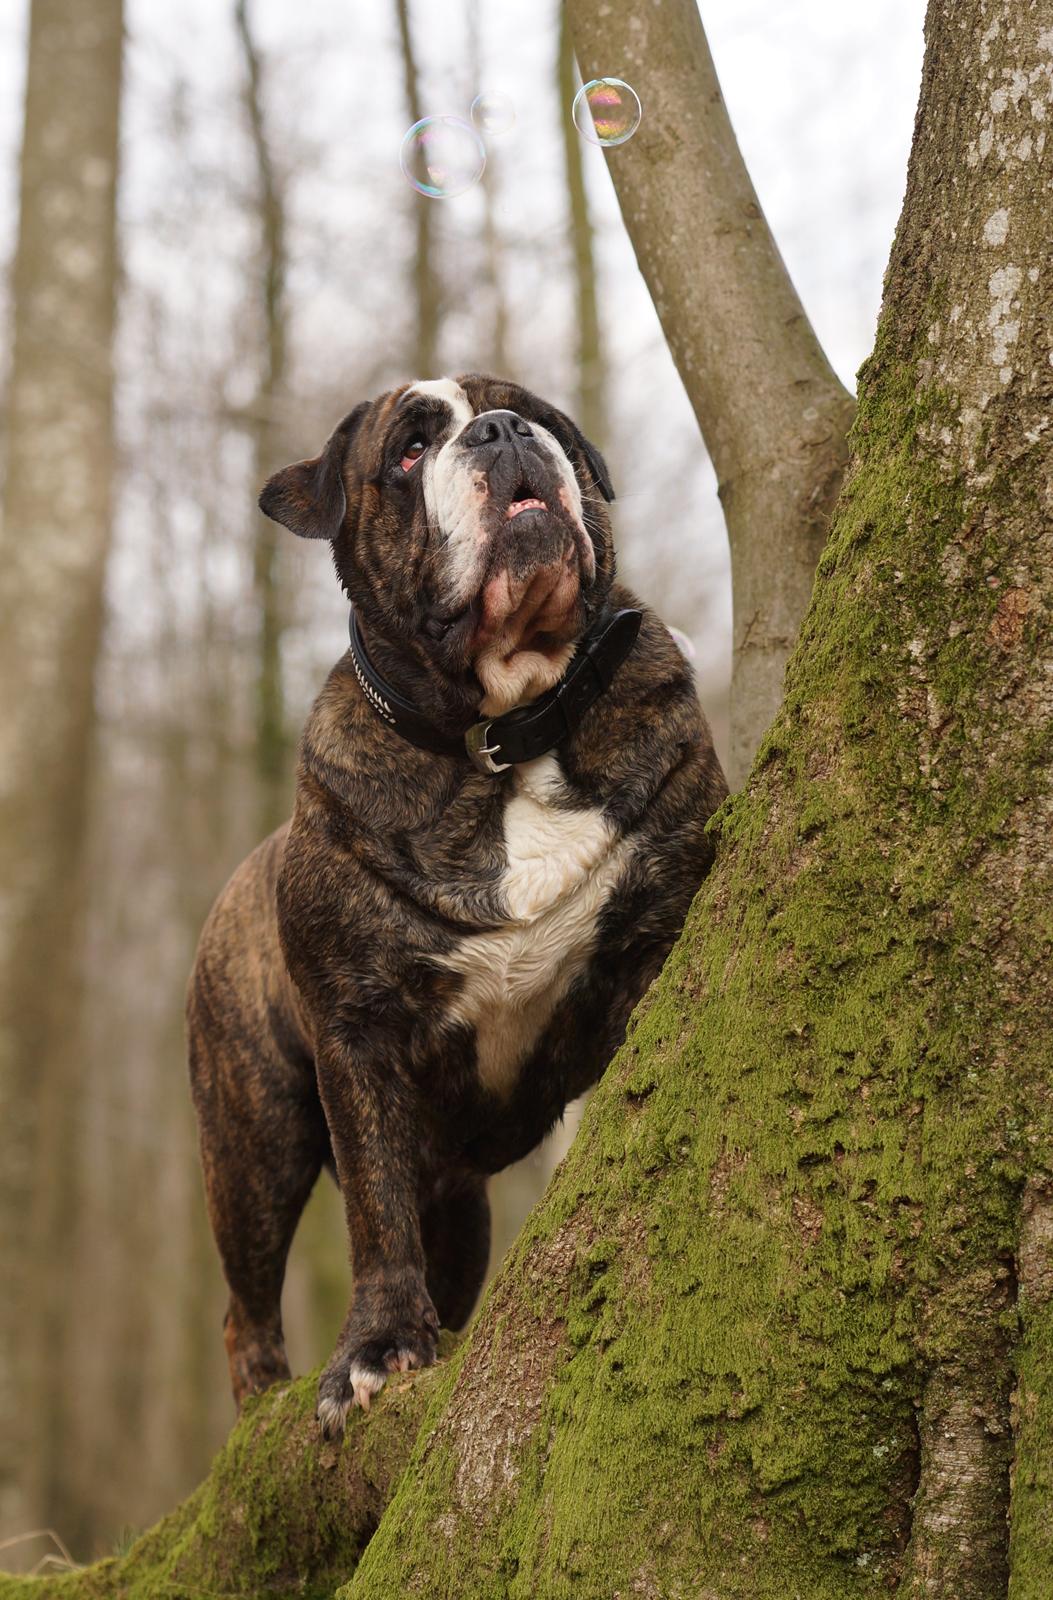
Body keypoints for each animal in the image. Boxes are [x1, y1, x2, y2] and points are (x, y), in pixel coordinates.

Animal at [184, 374, 723, 1440]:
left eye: (540, 417)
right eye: (407, 450)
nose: (504, 432)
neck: (505, 736)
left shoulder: (651, 940)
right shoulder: (358, 1035)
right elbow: (374, 1216)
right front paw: (376, 1350)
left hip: (458, 1205)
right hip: (253, 1144)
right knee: (243, 1310)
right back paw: (259, 1417)